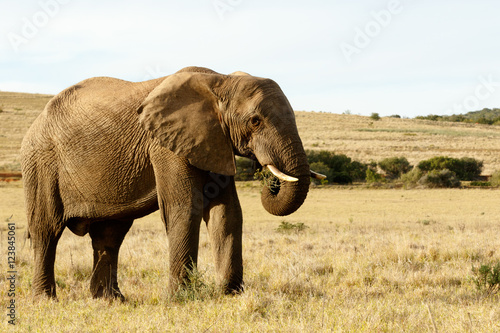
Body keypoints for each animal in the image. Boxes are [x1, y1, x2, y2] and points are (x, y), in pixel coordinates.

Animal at [21, 66, 322, 300]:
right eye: (255, 121)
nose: (265, 176)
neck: (220, 81)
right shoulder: (166, 144)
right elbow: (185, 207)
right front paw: (181, 299)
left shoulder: (214, 140)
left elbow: (227, 213)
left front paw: (230, 295)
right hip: (41, 163)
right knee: (47, 230)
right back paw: (45, 300)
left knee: (109, 235)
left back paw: (110, 300)